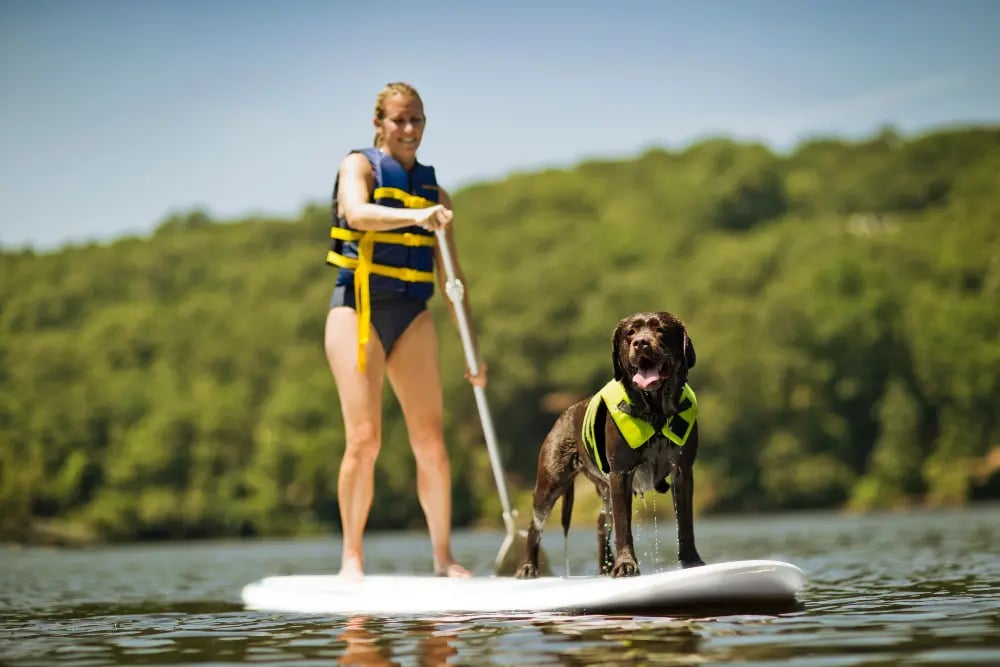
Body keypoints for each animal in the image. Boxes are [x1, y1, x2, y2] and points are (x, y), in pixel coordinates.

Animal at [516, 314, 704, 580]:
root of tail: (565, 413)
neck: (655, 413)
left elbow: (685, 523)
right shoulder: (621, 474)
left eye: (661, 329)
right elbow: (624, 525)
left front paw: (691, 560)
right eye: (631, 332)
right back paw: (527, 567)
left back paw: (604, 566)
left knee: (600, 521)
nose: (641, 343)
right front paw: (626, 565)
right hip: (550, 483)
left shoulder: (683, 471)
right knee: (535, 525)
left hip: (603, 489)